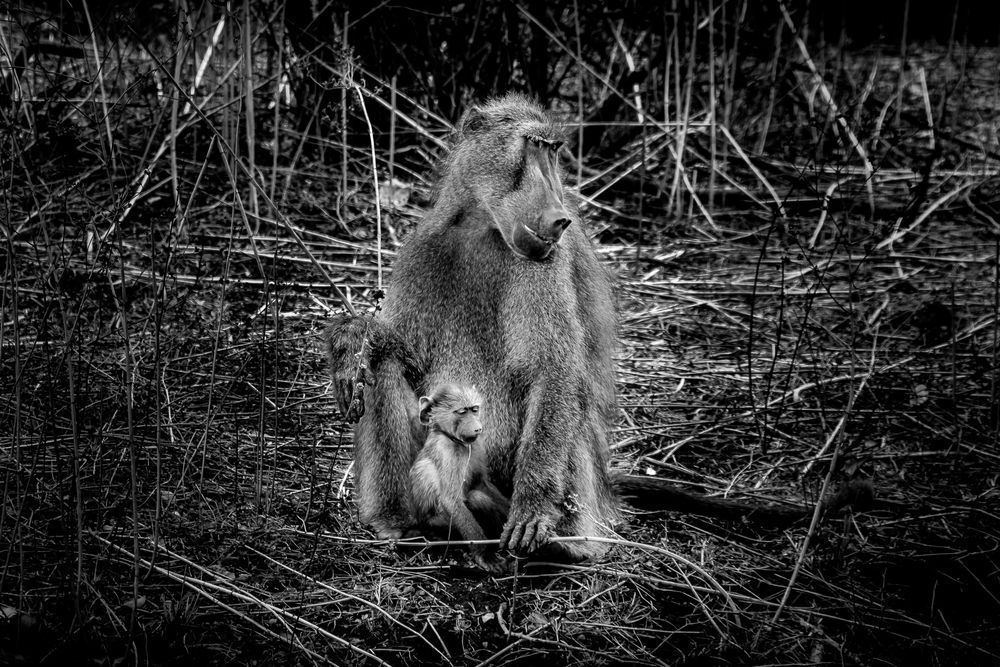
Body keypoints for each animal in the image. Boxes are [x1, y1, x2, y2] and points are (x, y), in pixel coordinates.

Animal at [409, 384, 511, 573]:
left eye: (475, 409)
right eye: (462, 412)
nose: (478, 428)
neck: (455, 441)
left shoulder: (476, 446)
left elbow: (481, 483)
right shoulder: (446, 451)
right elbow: (450, 499)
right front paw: (485, 555)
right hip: (438, 525)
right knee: (477, 499)